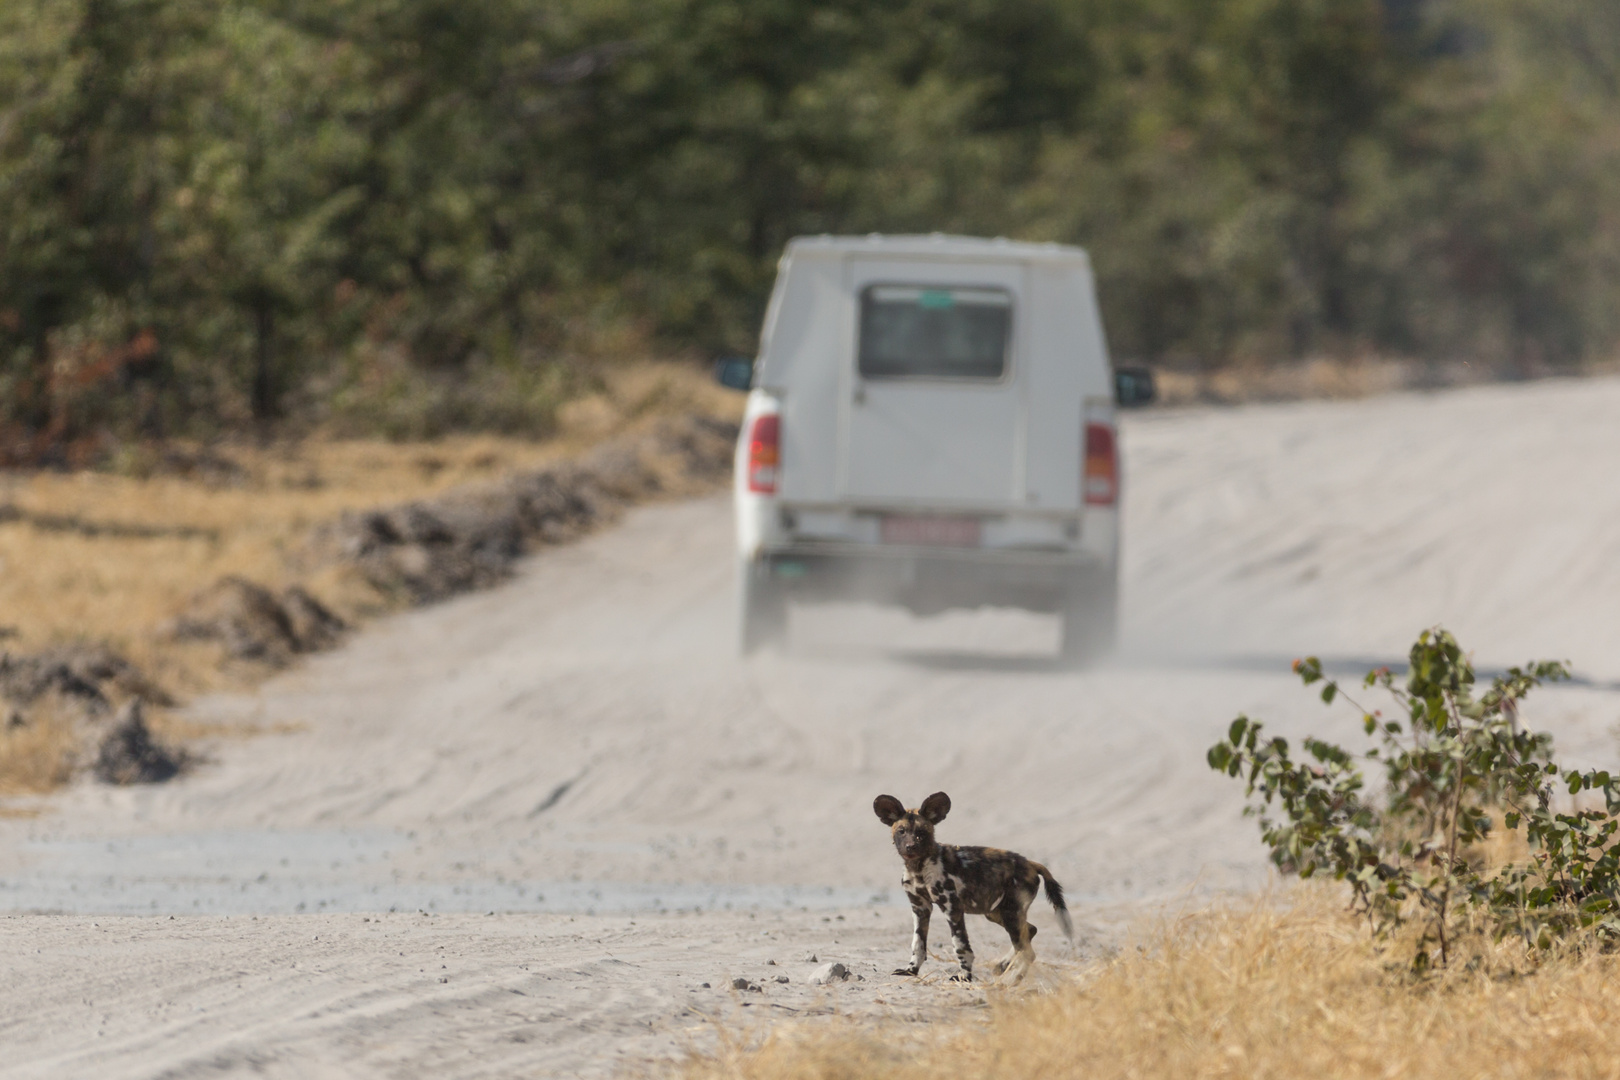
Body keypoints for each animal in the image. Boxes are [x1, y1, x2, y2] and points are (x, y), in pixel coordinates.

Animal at [881, 790, 1069, 984]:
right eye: (902, 831)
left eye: (921, 832)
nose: (911, 846)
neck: (918, 868)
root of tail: (1030, 863)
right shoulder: (920, 908)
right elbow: (918, 943)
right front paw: (911, 970)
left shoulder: (952, 909)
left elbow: (960, 946)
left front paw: (965, 976)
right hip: (996, 913)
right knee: (1029, 932)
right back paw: (1004, 966)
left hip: (1009, 914)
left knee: (1027, 951)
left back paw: (1010, 982)